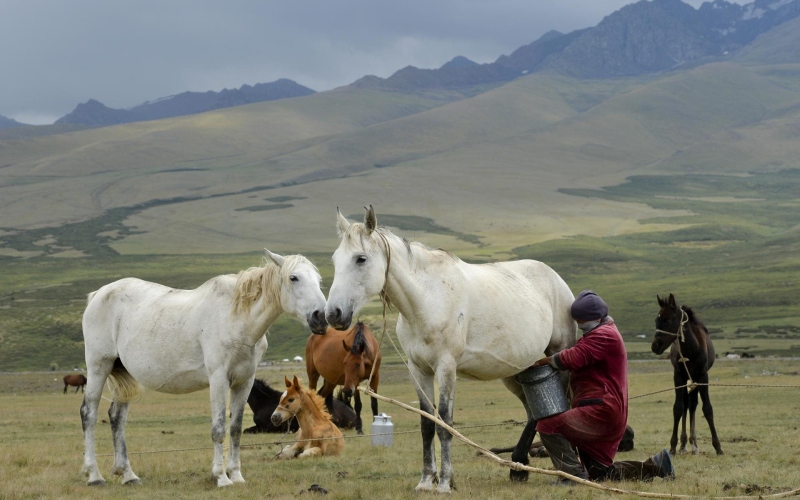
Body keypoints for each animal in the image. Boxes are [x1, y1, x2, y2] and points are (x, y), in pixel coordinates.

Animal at [79, 248, 328, 486]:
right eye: (293, 277)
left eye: (318, 279)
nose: (321, 317)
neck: (237, 319)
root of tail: (97, 295)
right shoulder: (218, 379)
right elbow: (218, 429)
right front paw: (221, 478)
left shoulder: (244, 382)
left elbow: (235, 429)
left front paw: (236, 475)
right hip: (99, 367)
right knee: (89, 414)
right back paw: (94, 476)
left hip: (124, 373)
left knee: (117, 418)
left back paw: (128, 475)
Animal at [652, 294, 720, 456]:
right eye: (656, 320)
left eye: (668, 320)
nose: (654, 346)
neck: (692, 348)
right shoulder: (678, 377)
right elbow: (678, 408)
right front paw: (673, 445)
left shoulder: (702, 377)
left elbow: (707, 409)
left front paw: (717, 446)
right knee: (686, 405)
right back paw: (683, 444)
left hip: (694, 379)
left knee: (692, 404)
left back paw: (694, 444)